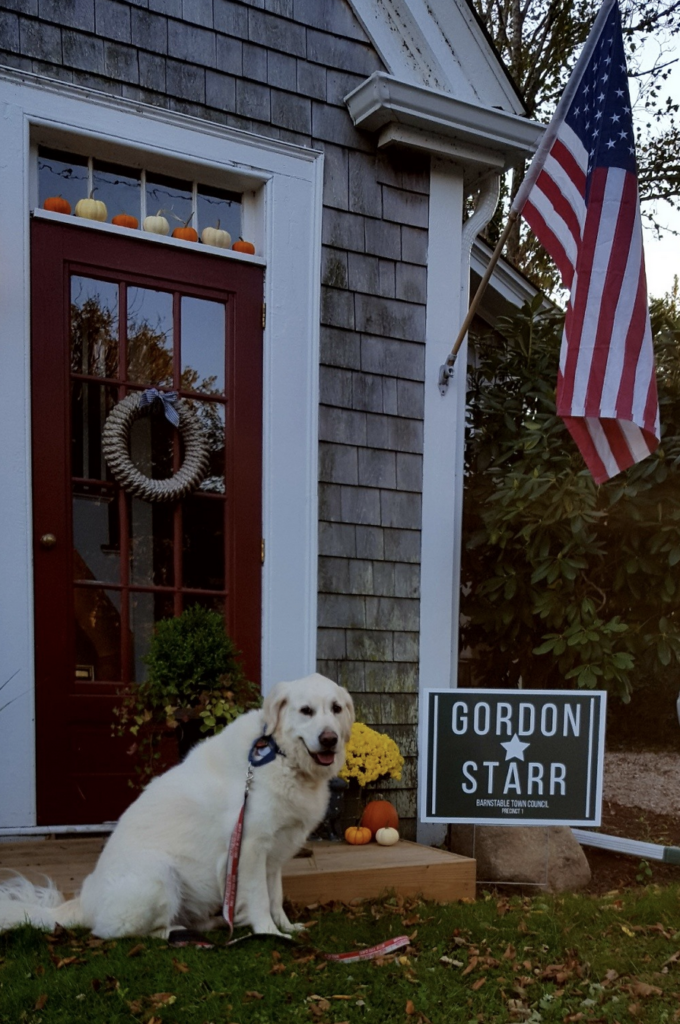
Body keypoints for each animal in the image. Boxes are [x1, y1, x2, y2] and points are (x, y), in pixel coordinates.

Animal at [0, 671, 352, 937]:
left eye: (336, 708)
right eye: (306, 711)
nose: (330, 739)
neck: (280, 755)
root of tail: (84, 902)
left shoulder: (274, 853)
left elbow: (275, 896)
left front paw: (287, 927)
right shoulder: (250, 847)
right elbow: (259, 899)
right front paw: (269, 933)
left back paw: (212, 924)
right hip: (159, 874)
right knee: (127, 932)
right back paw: (177, 933)